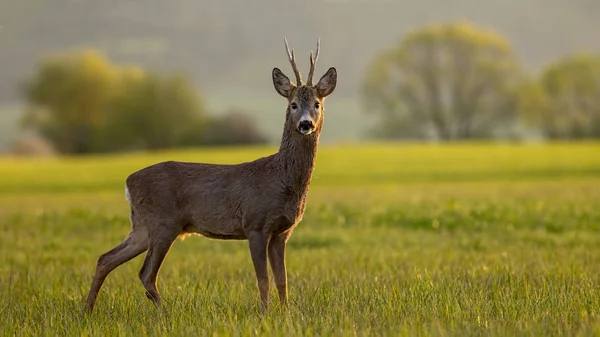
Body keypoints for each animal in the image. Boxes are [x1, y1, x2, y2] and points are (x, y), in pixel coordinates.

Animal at [84, 38, 338, 312]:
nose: (305, 124)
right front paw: (264, 314)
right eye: (293, 104)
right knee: (145, 273)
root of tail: (128, 182)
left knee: (106, 258)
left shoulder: (282, 232)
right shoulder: (255, 224)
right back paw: (165, 313)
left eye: (317, 104)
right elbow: (263, 279)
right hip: (163, 221)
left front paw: (286, 314)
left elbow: (283, 281)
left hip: (141, 226)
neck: (282, 179)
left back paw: (87, 310)